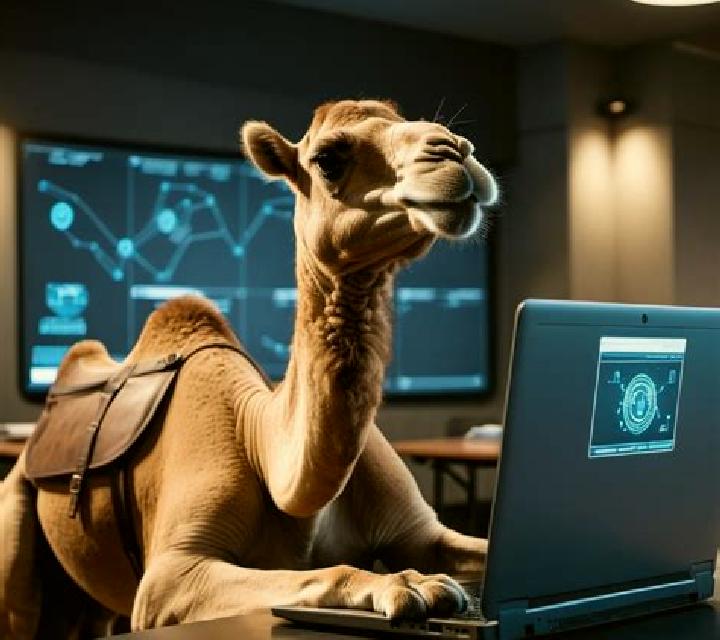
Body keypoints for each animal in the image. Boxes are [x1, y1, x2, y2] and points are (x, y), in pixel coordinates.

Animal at [0, 99, 498, 637]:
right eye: (328, 158)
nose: (455, 151)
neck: (261, 441)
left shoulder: (421, 532)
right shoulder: (167, 579)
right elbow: (330, 570)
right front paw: (410, 586)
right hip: (17, 550)